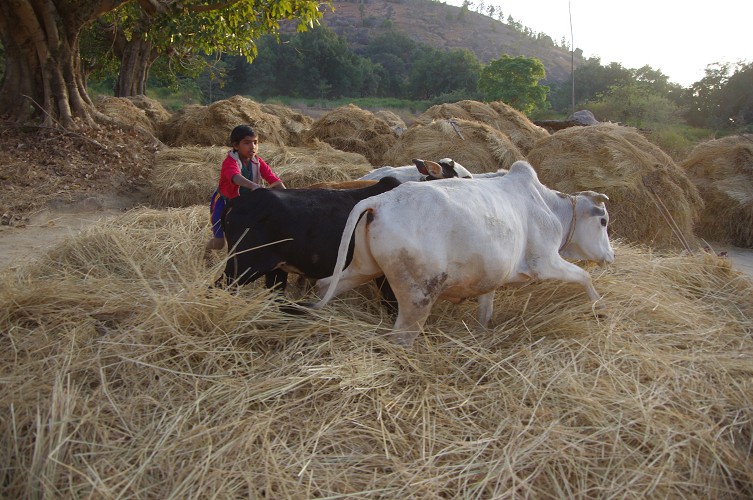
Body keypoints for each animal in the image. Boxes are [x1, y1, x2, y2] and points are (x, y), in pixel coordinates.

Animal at [314, 161, 612, 348]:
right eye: (603, 221)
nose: (610, 256)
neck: (549, 207)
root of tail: (379, 201)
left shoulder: (491, 279)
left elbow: (485, 312)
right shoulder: (545, 262)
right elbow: (584, 277)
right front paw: (599, 307)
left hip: (362, 268)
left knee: (325, 285)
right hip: (417, 297)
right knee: (401, 337)